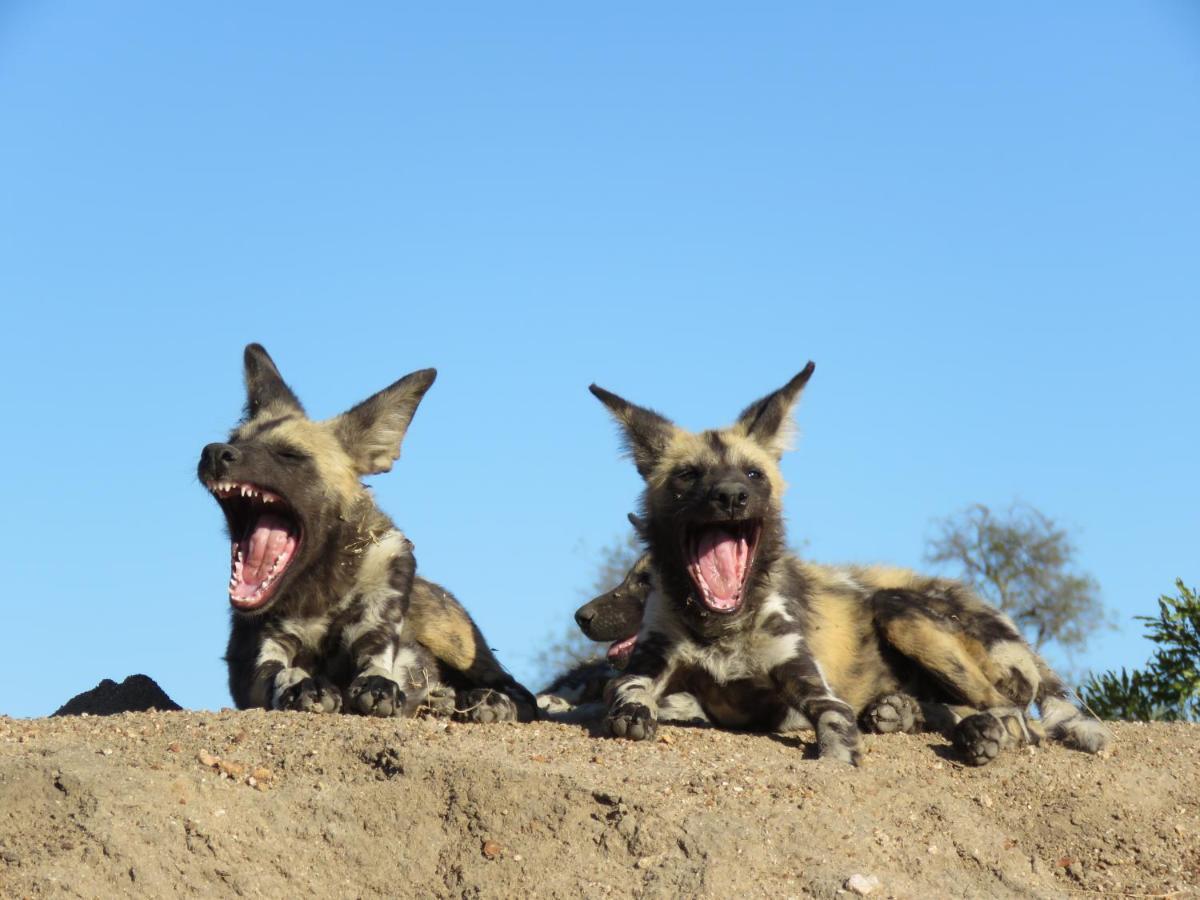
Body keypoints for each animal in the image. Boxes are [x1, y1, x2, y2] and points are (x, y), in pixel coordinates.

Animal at [199, 345, 537, 724]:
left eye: (289, 455)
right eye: (234, 440)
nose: (215, 452)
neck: (320, 591)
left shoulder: (378, 628)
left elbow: (379, 664)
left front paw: (379, 685)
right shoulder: (261, 658)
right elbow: (280, 672)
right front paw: (303, 685)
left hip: (455, 643)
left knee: (519, 692)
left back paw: (485, 700)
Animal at [588, 367, 1104, 768]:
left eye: (754, 474)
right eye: (688, 475)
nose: (731, 496)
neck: (721, 630)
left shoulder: (810, 691)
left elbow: (835, 725)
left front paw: (836, 756)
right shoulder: (647, 668)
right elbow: (625, 691)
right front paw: (637, 712)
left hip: (897, 609)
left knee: (1015, 717)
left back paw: (979, 732)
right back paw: (905, 712)